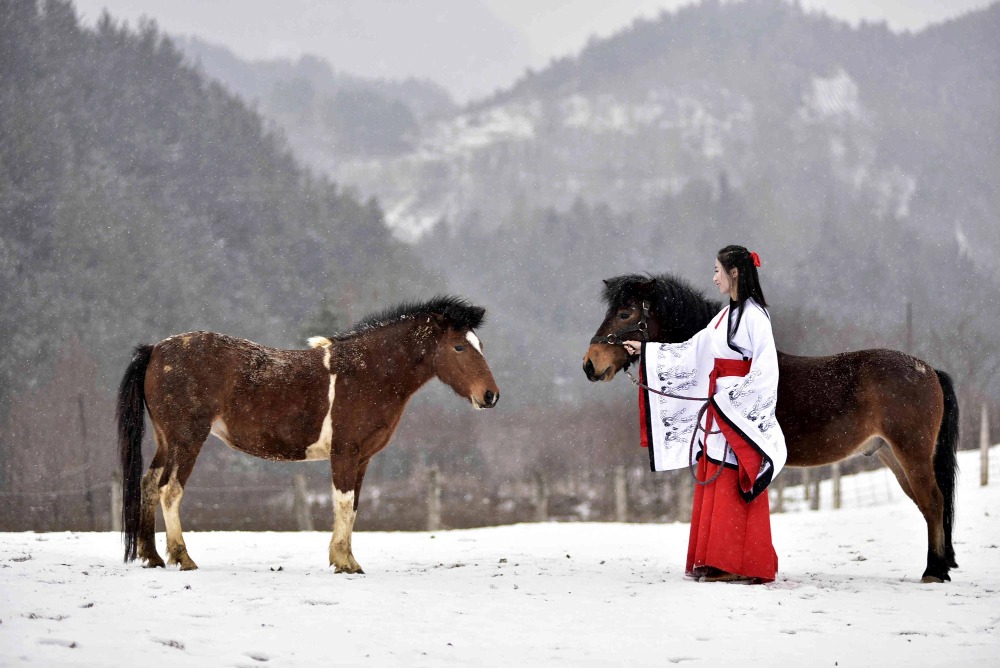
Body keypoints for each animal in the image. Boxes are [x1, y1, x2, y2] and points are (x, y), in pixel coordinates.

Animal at [117, 298, 500, 576]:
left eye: (479, 343)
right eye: (458, 347)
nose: (490, 395)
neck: (367, 373)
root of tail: (156, 349)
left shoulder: (362, 458)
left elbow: (353, 507)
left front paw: (345, 559)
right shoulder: (344, 453)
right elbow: (343, 504)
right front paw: (345, 562)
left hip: (167, 441)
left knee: (148, 485)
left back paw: (152, 557)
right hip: (188, 440)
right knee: (170, 490)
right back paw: (182, 558)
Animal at [584, 274, 960, 580]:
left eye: (625, 313)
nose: (590, 364)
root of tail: (929, 370)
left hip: (912, 453)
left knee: (933, 502)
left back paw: (934, 572)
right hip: (893, 456)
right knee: (928, 505)